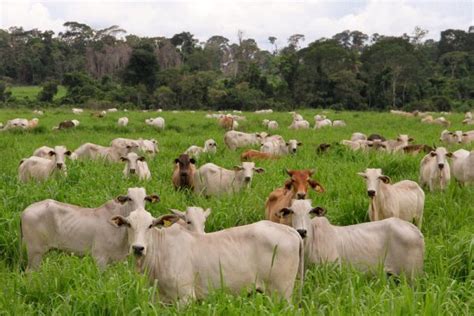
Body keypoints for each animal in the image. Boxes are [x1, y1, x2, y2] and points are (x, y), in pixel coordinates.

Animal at [20, 186, 159, 270]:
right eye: (129, 198)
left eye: (145, 199)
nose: (140, 210)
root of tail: (25, 211)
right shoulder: (99, 257)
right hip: (35, 252)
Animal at [110, 207, 302, 304]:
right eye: (128, 224)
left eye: (150, 225)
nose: (138, 248)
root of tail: (290, 230)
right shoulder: (160, 299)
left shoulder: (185, 297)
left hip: (281, 292)